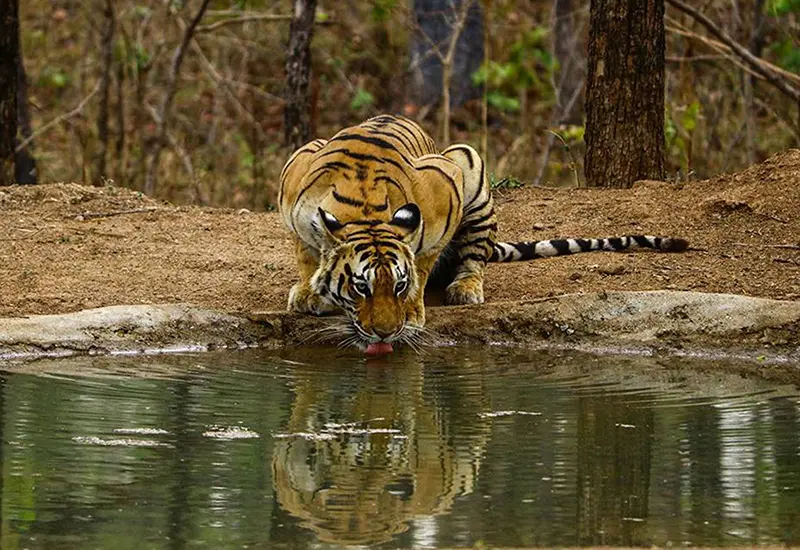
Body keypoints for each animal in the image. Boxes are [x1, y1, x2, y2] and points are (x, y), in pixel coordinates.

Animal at [276, 117, 688, 358]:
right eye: (361, 287)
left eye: (398, 285)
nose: (386, 334)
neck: (364, 212)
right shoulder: (295, 178)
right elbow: (304, 252)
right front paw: (308, 292)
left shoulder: (446, 186)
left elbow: (422, 260)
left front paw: (413, 313)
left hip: (467, 159)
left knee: (474, 256)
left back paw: (465, 288)